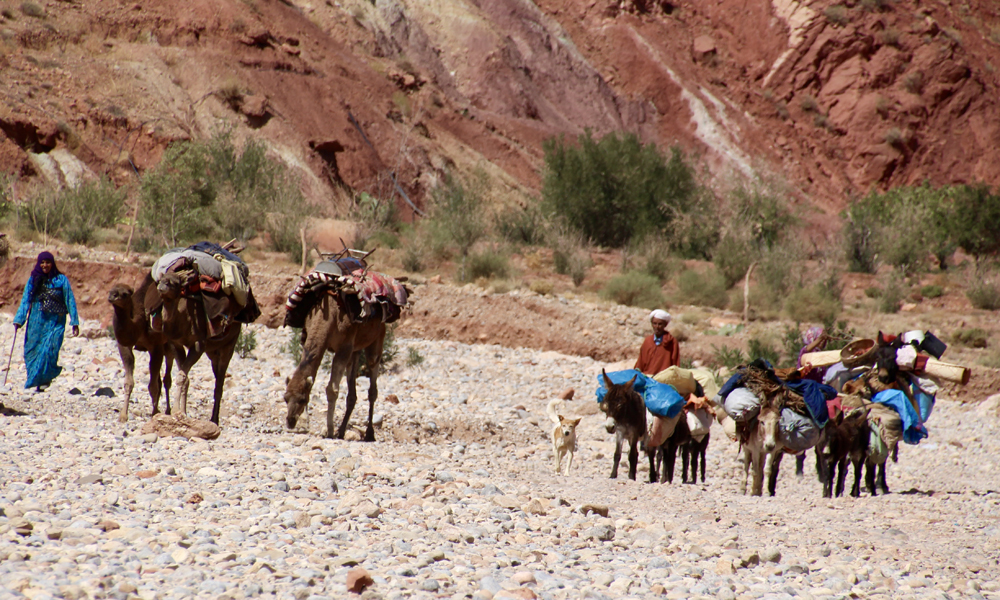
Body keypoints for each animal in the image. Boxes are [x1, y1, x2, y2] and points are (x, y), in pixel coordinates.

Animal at [108, 276, 176, 422]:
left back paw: (168, 410)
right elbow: (129, 382)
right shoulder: (124, 345)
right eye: (110, 290)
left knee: (167, 376)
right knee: (160, 379)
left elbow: (153, 386)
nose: (112, 296)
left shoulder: (156, 345)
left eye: (125, 294)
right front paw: (123, 415)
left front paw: (155, 414)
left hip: (169, 343)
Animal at [156, 270, 242, 424]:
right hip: (212, 351)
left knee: (220, 382)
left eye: (175, 282)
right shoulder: (175, 343)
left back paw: (214, 419)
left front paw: (178, 411)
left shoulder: (198, 344)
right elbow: (184, 377)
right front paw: (180, 411)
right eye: (160, 279)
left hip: (230, 343)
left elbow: (182, 376)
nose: (162, 286)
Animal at [286, 292, 390, 440]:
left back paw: (369, 434)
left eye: (302, 399)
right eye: (285, 398)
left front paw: (329, 431)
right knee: (352, 392)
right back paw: (341, 431)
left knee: (372, 384)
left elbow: (332, 389)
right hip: (356, 350)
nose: (290, 421)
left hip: (377, 337)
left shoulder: (344, 347)